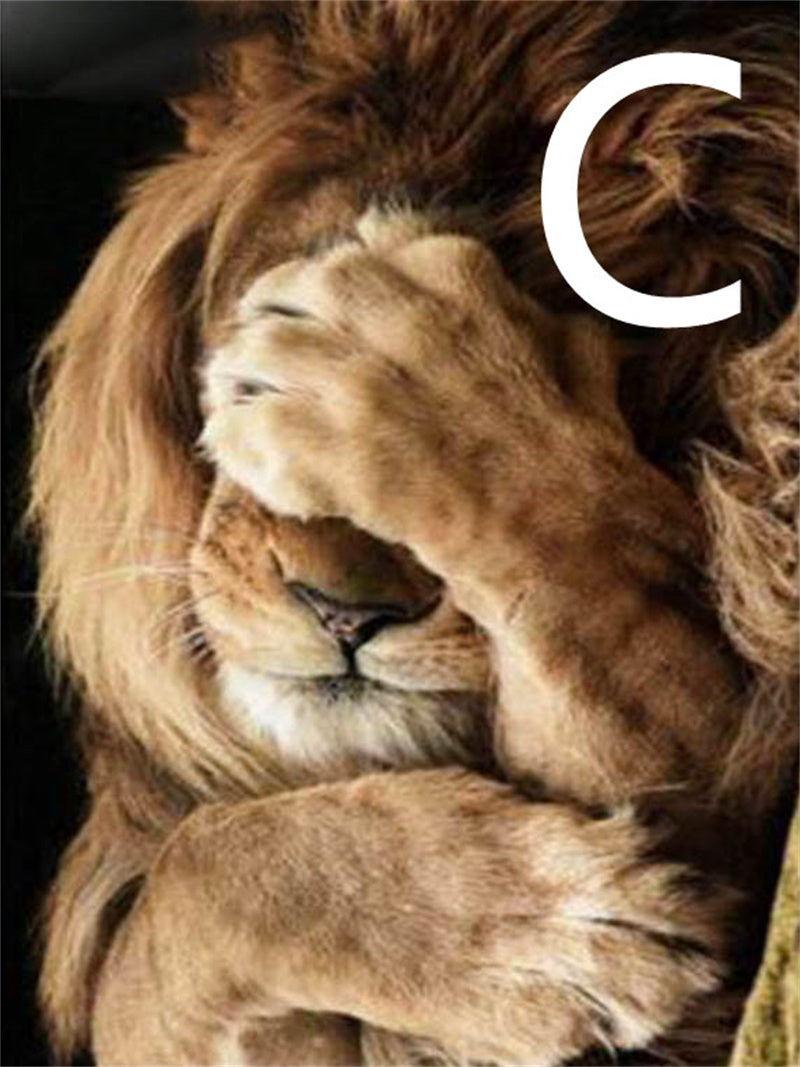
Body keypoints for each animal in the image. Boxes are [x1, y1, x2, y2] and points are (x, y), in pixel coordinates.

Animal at [30, 3, 797, 1065]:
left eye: (610, 389)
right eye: (245, 354)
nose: (343, 613)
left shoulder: (730, 847)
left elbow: (601, 598)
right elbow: (188, 886)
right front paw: (532, 937)